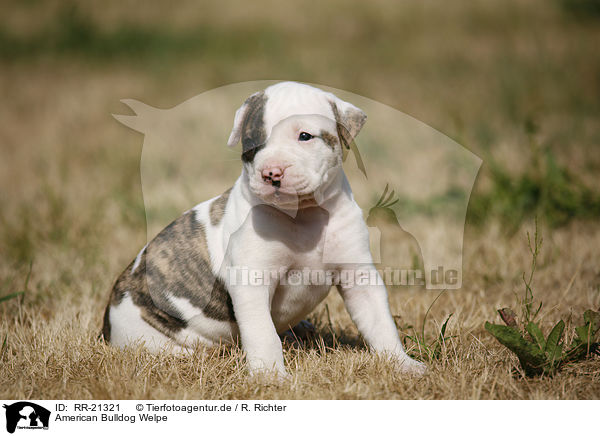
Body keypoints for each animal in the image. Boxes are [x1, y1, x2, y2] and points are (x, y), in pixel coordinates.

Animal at [101, 82, 424, 378]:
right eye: (251, 142)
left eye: (304, 136)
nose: (271, 173)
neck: (302, 216)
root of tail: (107, 323)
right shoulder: (251, 281)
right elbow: (262, 333)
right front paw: (271, 376)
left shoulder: (358, 274)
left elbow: (380, 322)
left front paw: (404, 364)